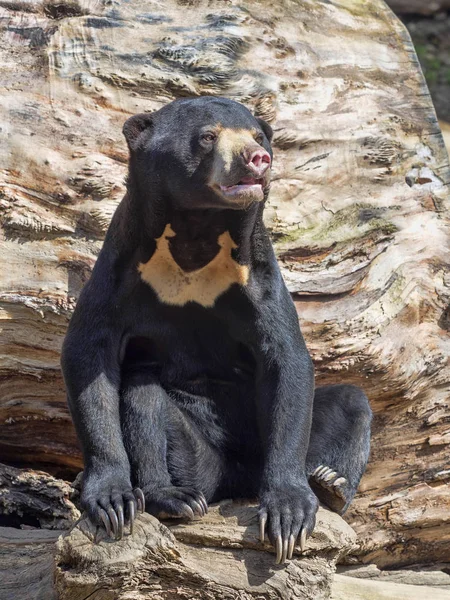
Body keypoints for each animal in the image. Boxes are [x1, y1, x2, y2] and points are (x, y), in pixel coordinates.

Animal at [60, 96, 372, 564]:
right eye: (208, 136)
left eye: (259, 137)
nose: (257, 159)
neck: (199, 234)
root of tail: (236, 481)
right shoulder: (123, 262)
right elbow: (89, 352)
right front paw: (110, 500)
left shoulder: (257, 274)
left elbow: (286, 359)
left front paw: (289, 514)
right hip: (195, 458)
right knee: (143, 393)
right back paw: (172, 498)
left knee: (351, 401)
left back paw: (328, 484)